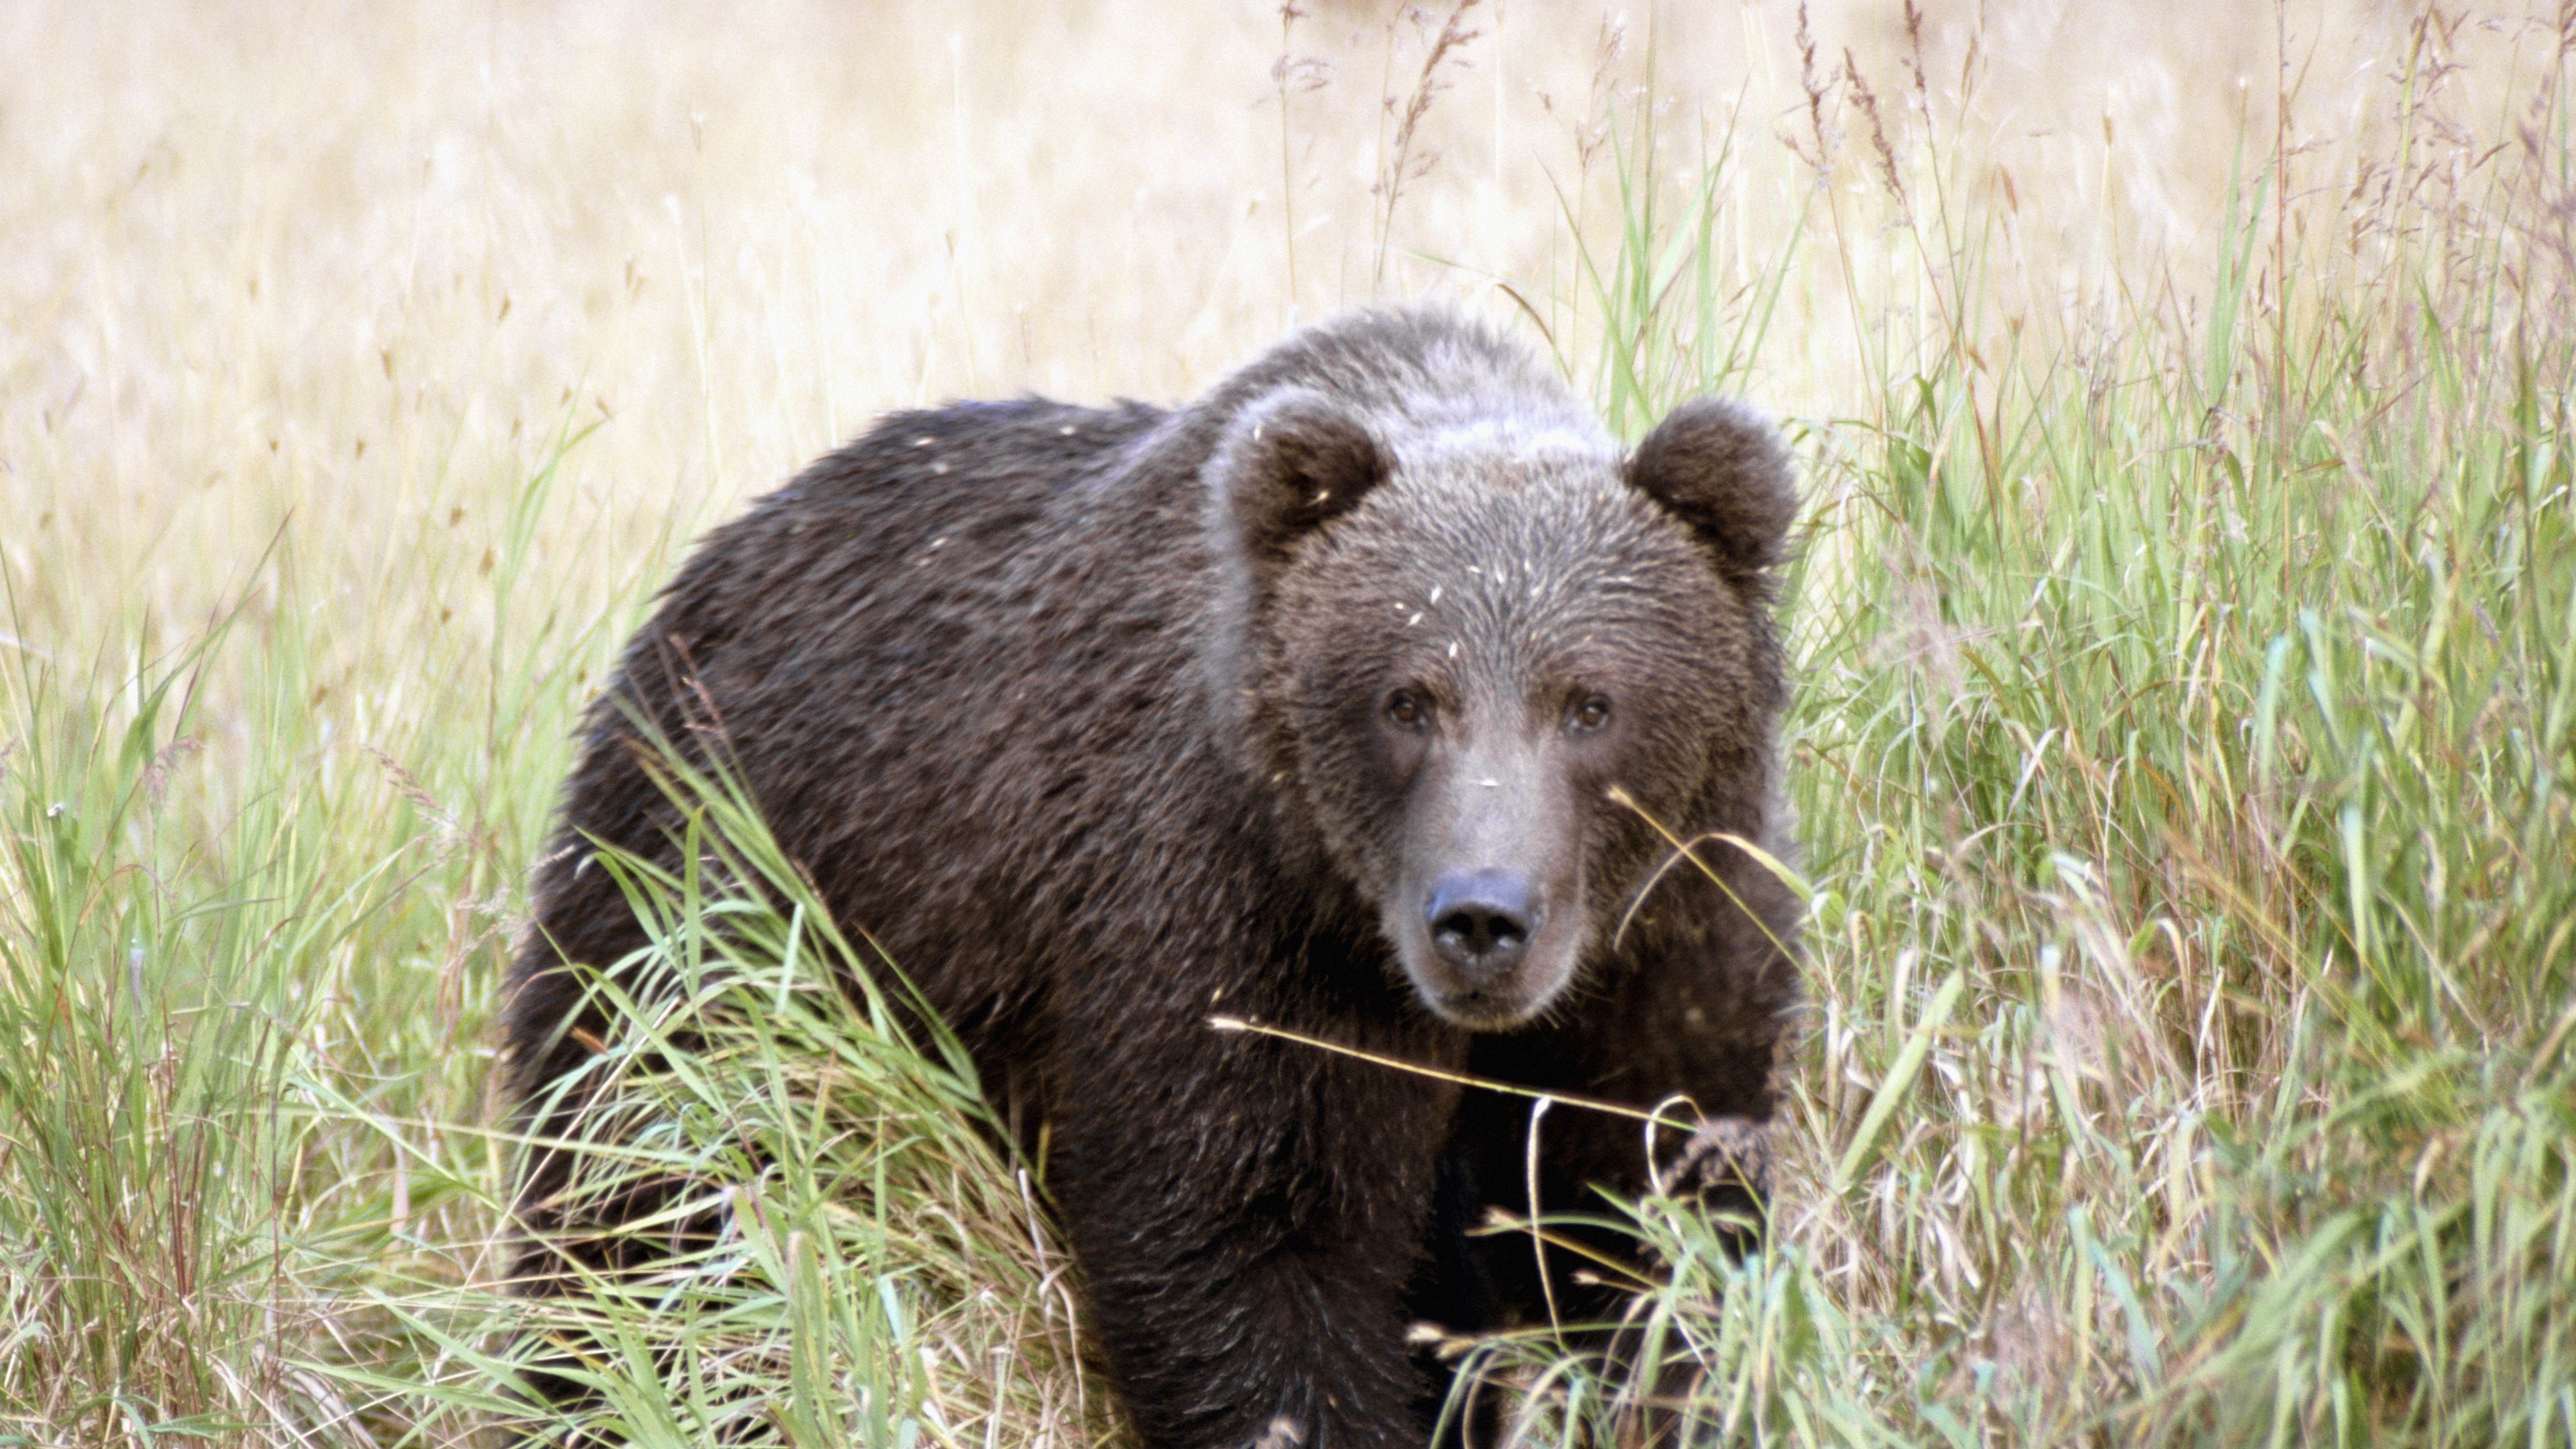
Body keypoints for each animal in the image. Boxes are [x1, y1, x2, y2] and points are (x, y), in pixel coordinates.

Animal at [503, 306, 1802, 1449]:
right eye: (1407, 699)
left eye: (1589, 702)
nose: (1482, 917)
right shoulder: (1229, 924)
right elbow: (1248, 1249)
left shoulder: (1671, 934)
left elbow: (1657, 1224)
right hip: (708, 901)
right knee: (646, 1200)